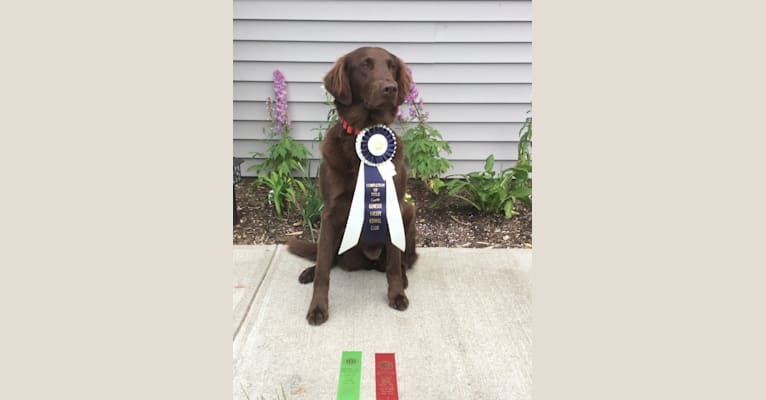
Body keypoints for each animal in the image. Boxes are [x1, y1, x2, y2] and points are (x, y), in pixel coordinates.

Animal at [288, 48, 420, 326]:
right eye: (365, 66)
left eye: (392, 66)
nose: (391, 88)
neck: (363, 135)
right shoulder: (330, 213)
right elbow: (324, 270)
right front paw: (317, 308)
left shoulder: (393, 207)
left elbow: (393, 264)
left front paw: (396, 295)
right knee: (329, 258)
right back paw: (310, 271)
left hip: (408, 211)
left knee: (400, 260)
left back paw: (403, 278)